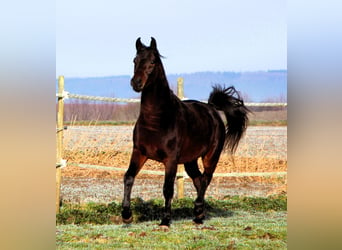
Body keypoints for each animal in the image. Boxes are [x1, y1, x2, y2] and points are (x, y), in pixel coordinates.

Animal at [121, 37, 250, 227]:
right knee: (198, 180)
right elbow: (129, 177)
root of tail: (212, 109)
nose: (136, 83)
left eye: (152, 62)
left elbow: (167, 188)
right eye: (135, 60)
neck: (157, 120)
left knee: (205, 179)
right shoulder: (139, 152)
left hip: (211, 156)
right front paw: (126, 215)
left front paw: (165, 220)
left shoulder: (171, 160)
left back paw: (198, 211)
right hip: (190, 161)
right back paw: (199, 215)